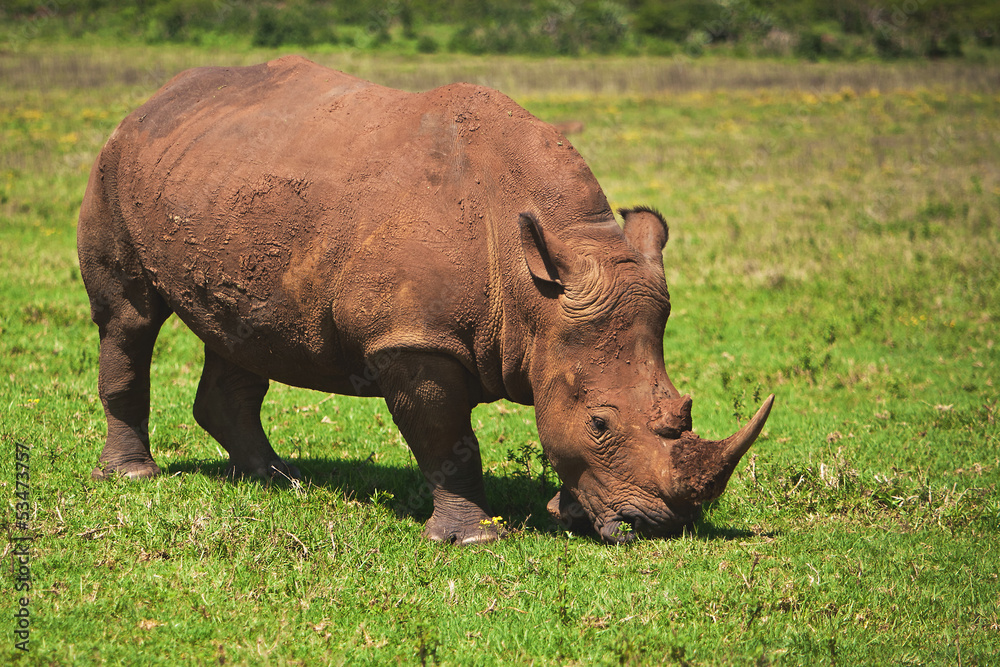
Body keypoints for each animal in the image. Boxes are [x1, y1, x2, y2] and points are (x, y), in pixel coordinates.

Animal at [78, 56, 773, 544]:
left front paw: (565, 514)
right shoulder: (414, 339)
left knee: (241, 332)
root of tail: (151, 101)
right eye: (600, 424)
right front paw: (473, 539)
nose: (662, 526)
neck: (531, 288)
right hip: (114, 165)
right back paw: (133, 476)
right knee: (128, 319)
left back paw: (278, 481)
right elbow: (447, 440)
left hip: (223, 186)